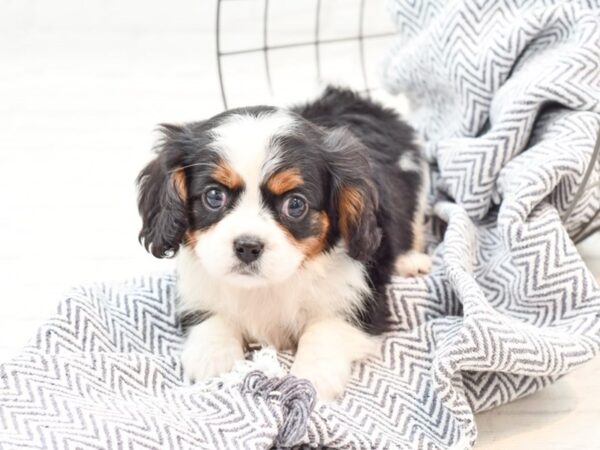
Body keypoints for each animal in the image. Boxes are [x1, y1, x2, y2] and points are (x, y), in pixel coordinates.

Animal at [138, 86, 428, 400]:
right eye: (214, 196)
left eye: (295, 204)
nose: (247, 246)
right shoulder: (196, 291)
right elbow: (212, 320)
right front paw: (215, 364)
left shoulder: (362, 298)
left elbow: (325, 330)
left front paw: (312, 377)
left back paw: (412, 260)